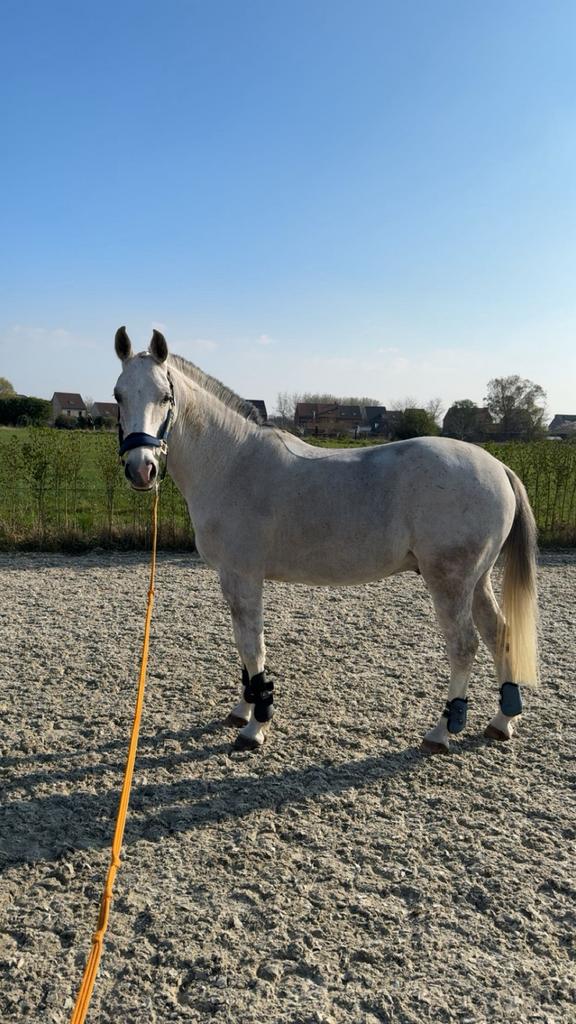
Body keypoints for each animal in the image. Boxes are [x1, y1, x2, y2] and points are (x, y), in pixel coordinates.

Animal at [113, 327, 539, 753]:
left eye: (164, 396)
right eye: (118, 394)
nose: (141, 469)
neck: (232, 461)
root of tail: (497, 466)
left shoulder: (242, 576)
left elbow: (252, 645)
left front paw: (256, 725)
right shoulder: (234, 580)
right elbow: (244, 645)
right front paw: (244, 709)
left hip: (450, 582)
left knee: (464, 645)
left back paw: (442, 730)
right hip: (477, 581)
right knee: (498, 634)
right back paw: (503, 720)